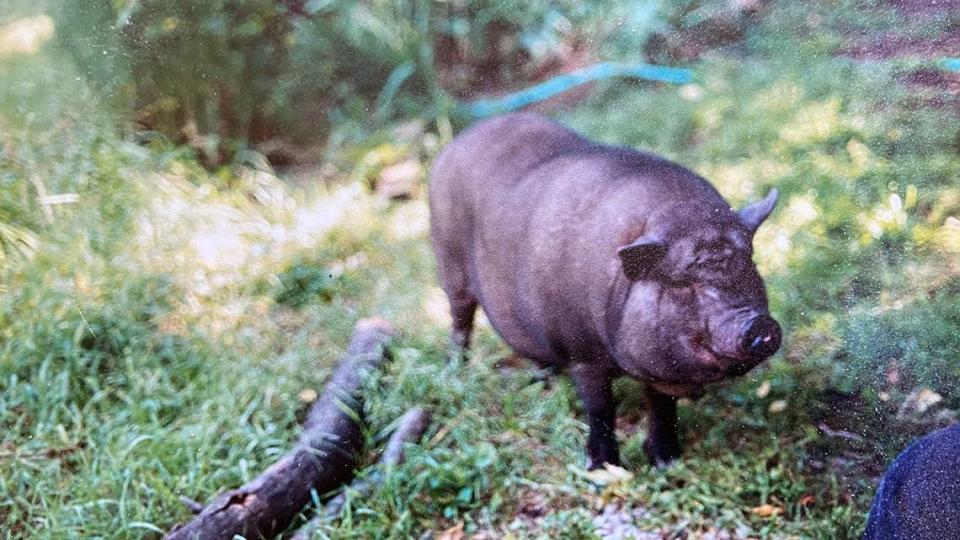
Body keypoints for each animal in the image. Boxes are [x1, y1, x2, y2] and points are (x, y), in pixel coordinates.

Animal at [428, 114, 780, 468]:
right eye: (683, 284)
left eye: (749, 266)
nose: (759, 323)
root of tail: (458, 141)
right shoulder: (581, 352)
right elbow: (600, 409)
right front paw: (602, 468)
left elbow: (662, 407)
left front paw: (667, 462)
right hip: (449, 265)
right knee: (460, 320)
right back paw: (455, 370)